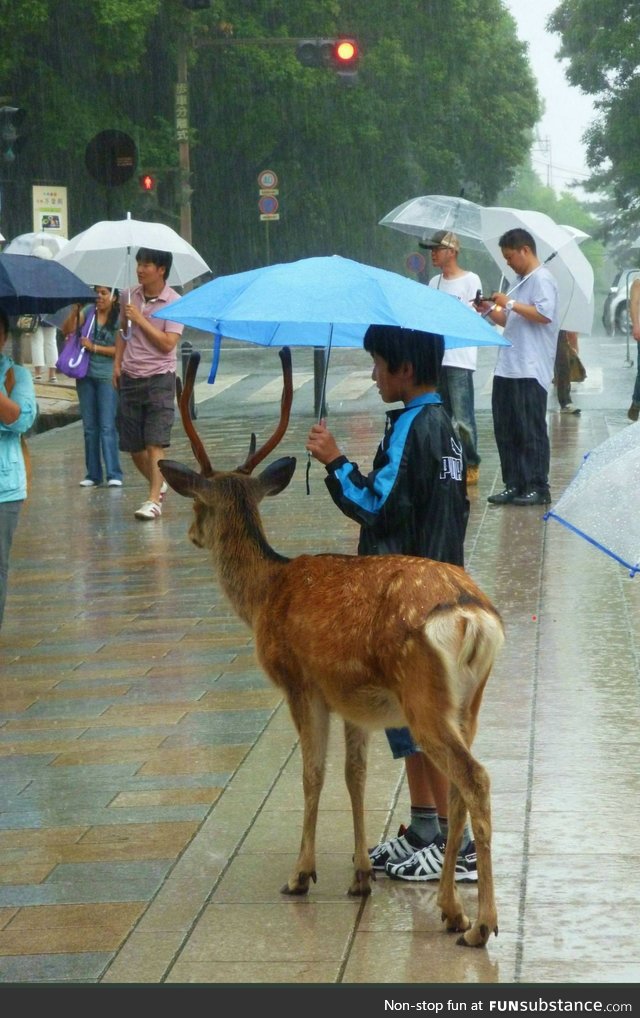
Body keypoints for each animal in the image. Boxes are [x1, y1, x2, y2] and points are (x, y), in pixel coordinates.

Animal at [158, 348, 504, 944]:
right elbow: (354, 776)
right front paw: (360, 874)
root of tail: (472, 615)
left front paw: (301, 874)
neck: (265, 594)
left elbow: (313, 774)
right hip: (469, 702)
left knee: (475, 779)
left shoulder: (301, 681)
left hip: (424, 697)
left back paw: (479, 923)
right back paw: (449, 909)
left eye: (197, 506)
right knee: (460, 785)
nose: (192, 535)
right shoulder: (353, 700)